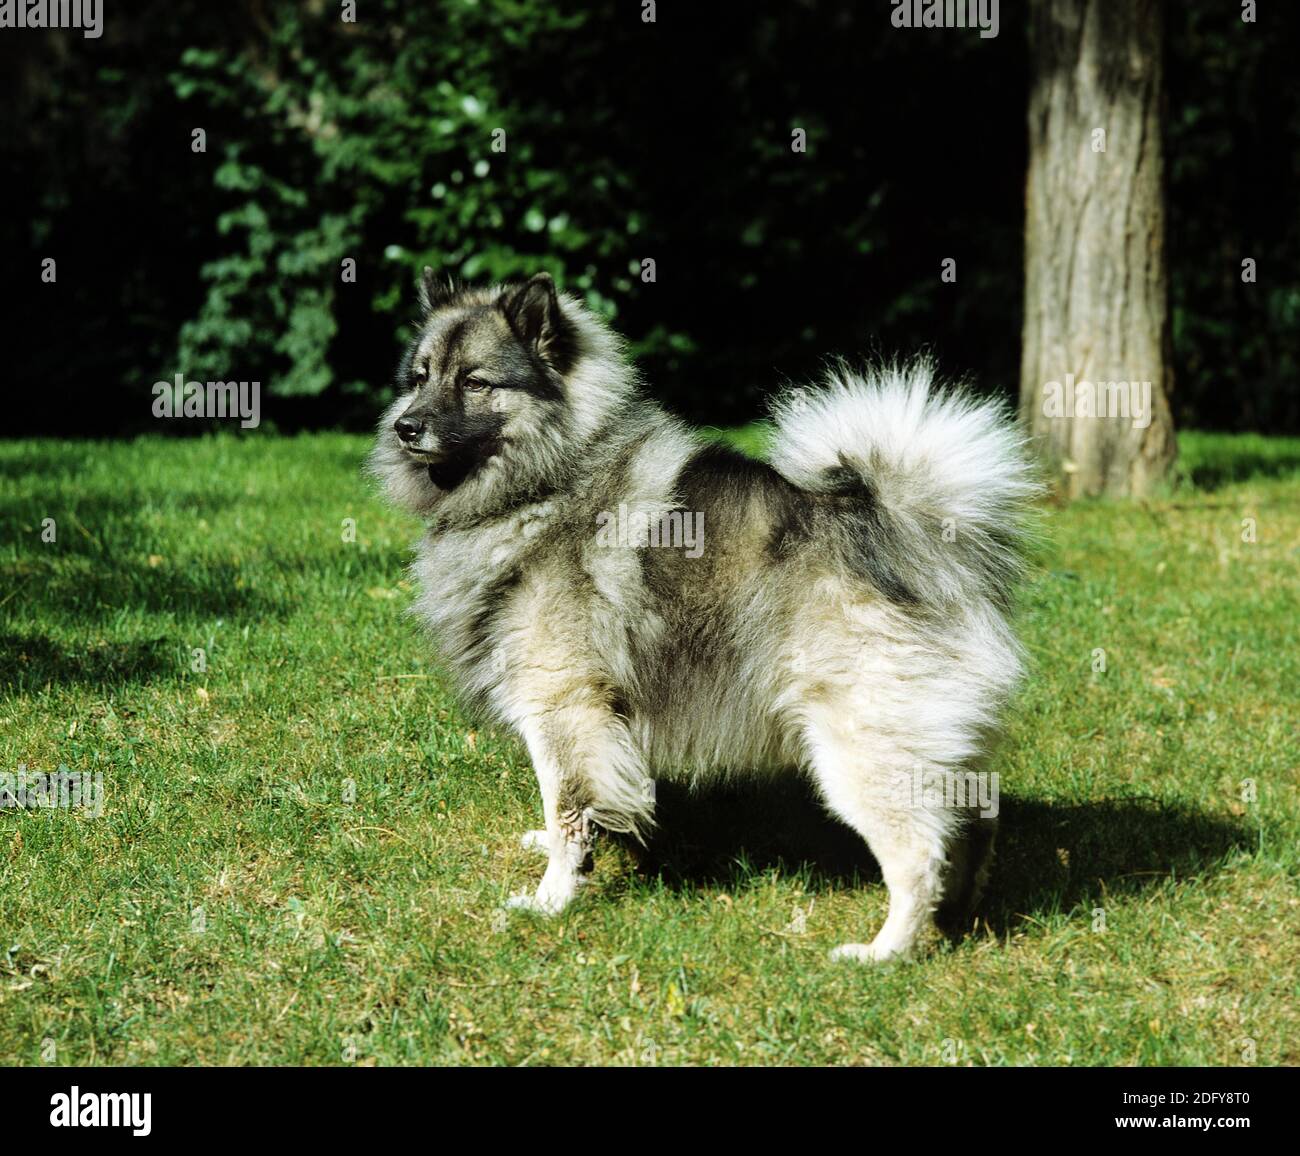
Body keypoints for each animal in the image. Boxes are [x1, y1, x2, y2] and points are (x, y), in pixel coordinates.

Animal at [369, 267, 1034, 957]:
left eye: (475, 382)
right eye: (419, 377)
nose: (405, 427)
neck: (552, 478)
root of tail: (918, 538)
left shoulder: (562, 705)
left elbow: (569, 809)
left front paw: (551, 900)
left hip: (859, 749)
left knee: (919, 855)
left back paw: (882, 953)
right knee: (974, 828)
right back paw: (957, 923)